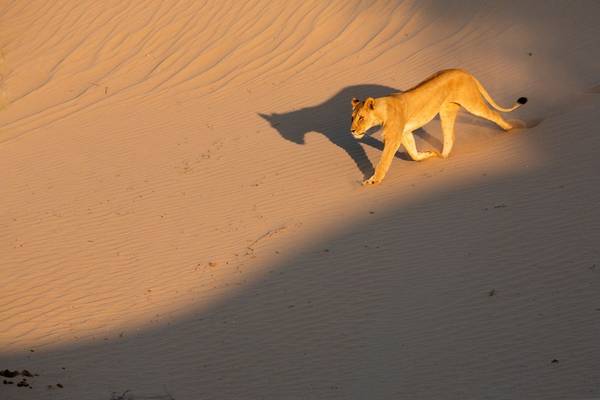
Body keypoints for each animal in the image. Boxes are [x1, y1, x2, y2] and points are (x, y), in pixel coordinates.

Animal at [350, 69, 528, 186]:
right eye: (352, 117)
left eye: (361, 117)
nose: (351, 130)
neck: (382, 111)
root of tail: (463, 70)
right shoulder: (405, 133)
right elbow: (413, 154)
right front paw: (428, 154)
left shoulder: (393, 138)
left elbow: (384, 161)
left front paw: (373, 181)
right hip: (447, 112)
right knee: (450, 137)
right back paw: (441, 157)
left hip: (472, 103)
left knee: (494, 115)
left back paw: (514, 128)